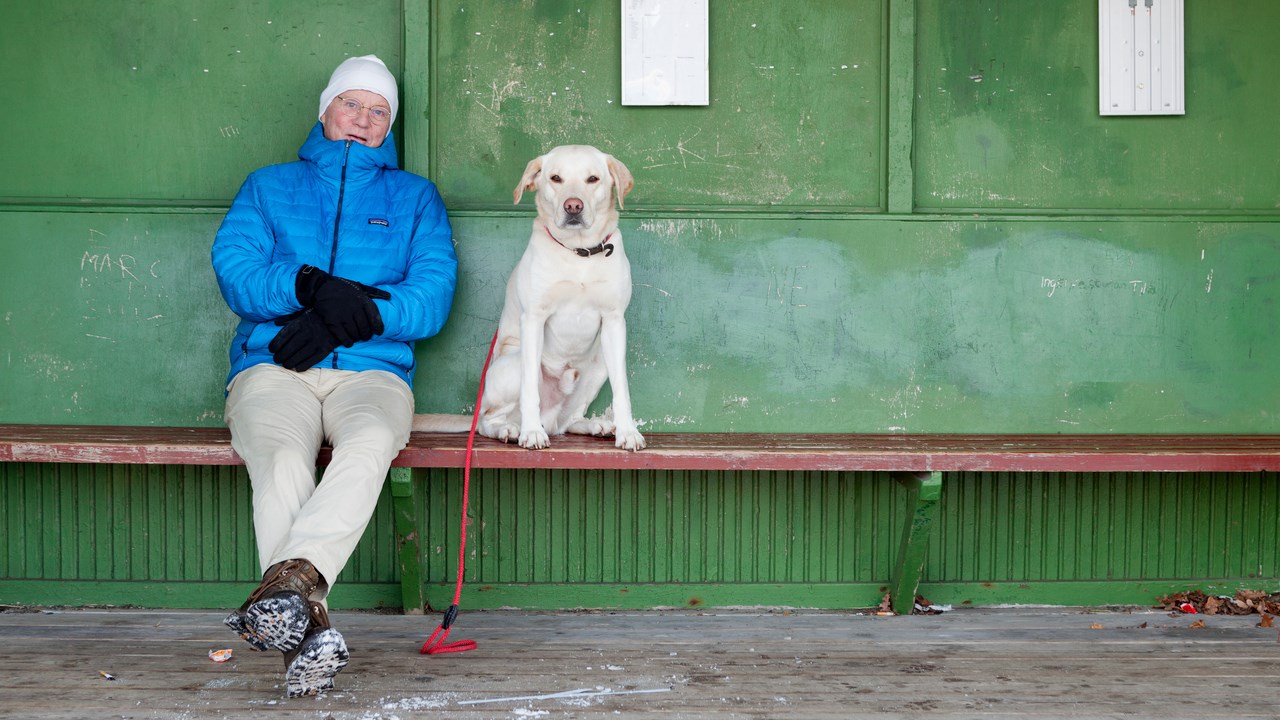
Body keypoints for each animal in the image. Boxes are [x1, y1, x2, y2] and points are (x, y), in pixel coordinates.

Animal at [414, 144, 645, 448]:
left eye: (592, 179)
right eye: (556, 178)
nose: (573, 206)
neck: (578, 252)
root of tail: (551, 416)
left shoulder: (614, 321)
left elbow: (623, 390)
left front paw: (628, 431)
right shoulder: (534, 319)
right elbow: (529, 394)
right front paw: (532, 432)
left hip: (598, 367)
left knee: (566, 422)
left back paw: (595, 425)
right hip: (515, 366)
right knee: (487, 420)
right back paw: (510, 429)